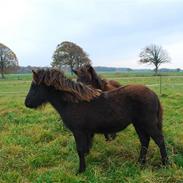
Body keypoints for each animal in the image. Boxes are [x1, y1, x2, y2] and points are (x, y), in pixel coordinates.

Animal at [25, 68, 168, 173]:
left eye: (34, 86)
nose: (27, 103)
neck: (73, 102)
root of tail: (153, 93)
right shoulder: (86, 132)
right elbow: (85, 148)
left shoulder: (78, 132)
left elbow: (80, 149)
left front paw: (81, 170)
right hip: (138, 124)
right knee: (144, 141)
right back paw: (140, 163)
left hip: (148, 123)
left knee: (159, 140)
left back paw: (165, 164)